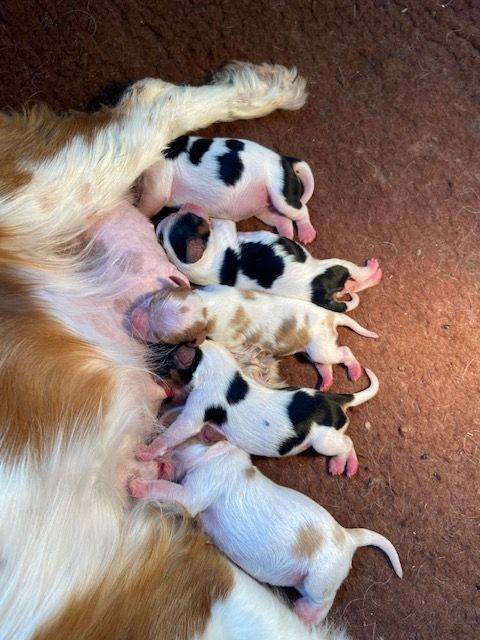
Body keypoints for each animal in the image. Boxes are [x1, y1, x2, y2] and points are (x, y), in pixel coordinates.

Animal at [129, 438, 404, 628]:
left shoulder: (196, 492)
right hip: (303, 579)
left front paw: (137, 485)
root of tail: (349, 537)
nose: (150, 453)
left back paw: (303, 614)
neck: (216, 452)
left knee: (324, 602)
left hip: (320, 578)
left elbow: (168, 489)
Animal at [132, 284, 378, 390]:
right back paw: (326, 382)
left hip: (322, 347)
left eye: (161, 336)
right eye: (153, 299)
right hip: (314, 350)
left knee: (344, 352)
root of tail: (331, 316)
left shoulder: (228, 336)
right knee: (324, 365)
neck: (205, 307)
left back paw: (354, 370)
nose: (133, 319)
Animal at [136, 340, 378, 476]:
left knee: (347, 443)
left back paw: (342, 465)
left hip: (324, 441)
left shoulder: (195, 412)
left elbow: (171, 434)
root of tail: (336, 399)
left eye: (165, 355)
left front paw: (145, 452)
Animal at [156, 211, 380, 314]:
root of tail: (319, 295)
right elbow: (225, 223)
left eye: (185, 218)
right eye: (193, 221)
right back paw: (374, 271)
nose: (172, 212)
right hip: (336, 265)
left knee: (351, 287)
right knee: (357, 275)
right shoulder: (226, 232)